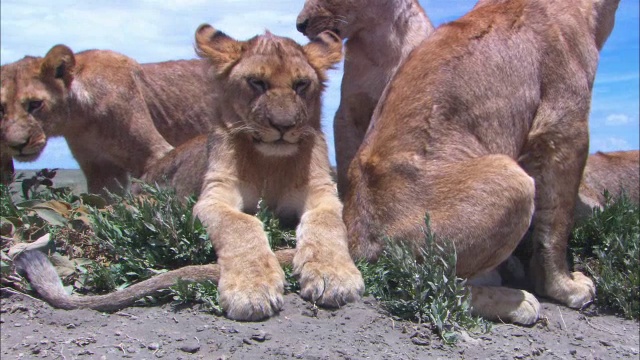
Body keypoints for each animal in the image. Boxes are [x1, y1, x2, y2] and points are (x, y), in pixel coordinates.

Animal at [0, 47, 218, 194]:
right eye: (1, 108)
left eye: (35, 104)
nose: (17, 145)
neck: (79, 119)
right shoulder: (100, 169)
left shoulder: (156, 153)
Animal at [344, 0, 620, 326]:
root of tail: (356, 237)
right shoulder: (563, 126)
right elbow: (557, 223)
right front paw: (564, 286)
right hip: (512, 181)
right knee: (434, 286)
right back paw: (519, 300)